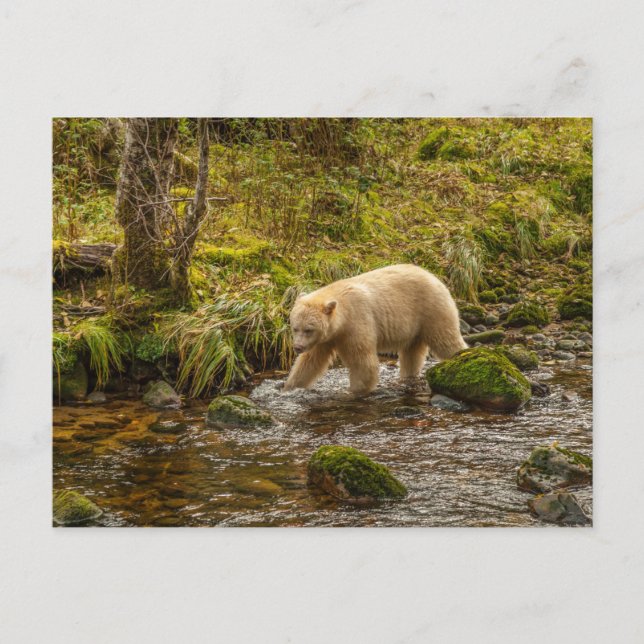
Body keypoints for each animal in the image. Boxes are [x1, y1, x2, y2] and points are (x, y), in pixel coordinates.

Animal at [283, 264, 468, 395]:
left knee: (446, 340)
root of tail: (434, 276)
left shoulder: (356, 323)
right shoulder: (327, 338)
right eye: (295, 328)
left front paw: (353, 391)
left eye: (309, 329)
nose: (297, 347)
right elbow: (310, 362)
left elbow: (363, 362)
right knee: (412, 354)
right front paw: (289, 387)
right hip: (415, 327)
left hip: (431, 310)